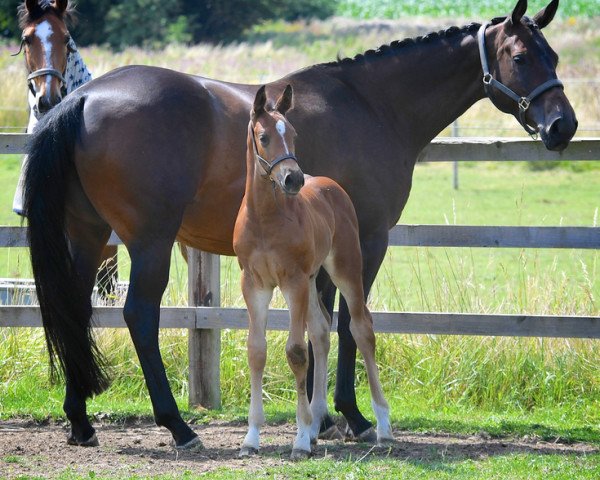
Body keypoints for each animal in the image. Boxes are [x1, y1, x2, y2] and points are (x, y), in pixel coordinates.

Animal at [232, 85, 392, 458]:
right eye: (263, 137)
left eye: (292, 134)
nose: (293, 178)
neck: (265, 220)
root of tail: (331, 185)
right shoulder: (255, 284)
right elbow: (256, 350)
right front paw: (251, 438)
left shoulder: (292, 281)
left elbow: (295, 352)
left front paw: (301, 440)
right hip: (313, 279)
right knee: (321, 332)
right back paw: (320, 423)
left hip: (344, 269)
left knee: (361, 329)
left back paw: (381, 424)